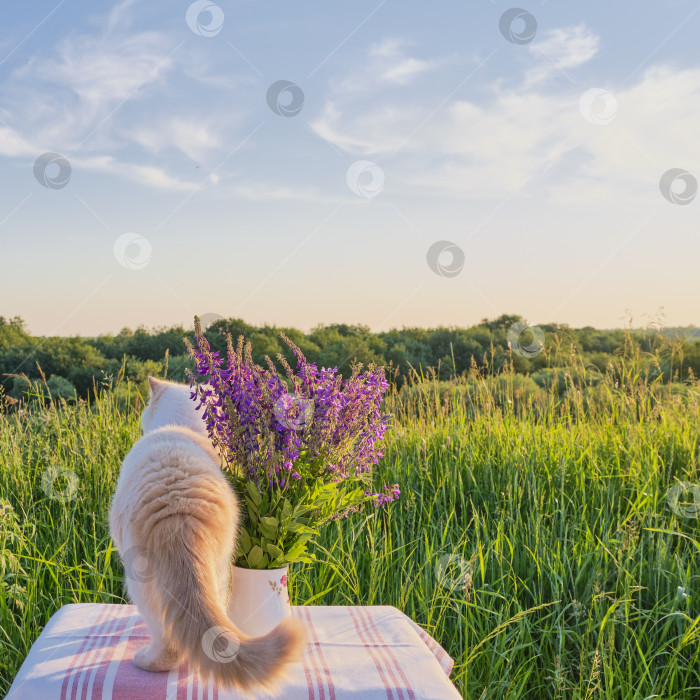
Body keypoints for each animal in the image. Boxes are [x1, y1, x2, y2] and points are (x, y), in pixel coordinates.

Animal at [110, 378, 306, 688]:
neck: (182, 428)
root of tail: (178, 507)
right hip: (220, 569)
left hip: (139, 585)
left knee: (168, 640)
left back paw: (146, 661)